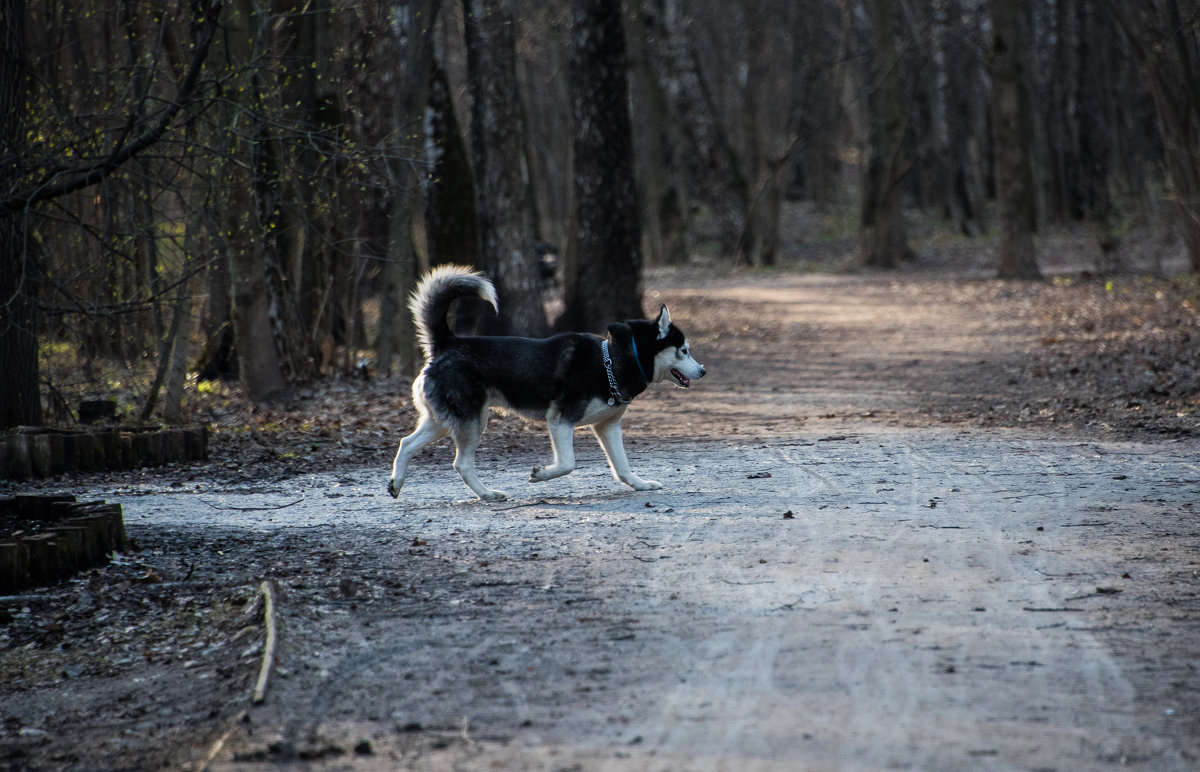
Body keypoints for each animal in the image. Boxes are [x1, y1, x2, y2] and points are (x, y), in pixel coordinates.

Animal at [384, 265, 700, 501]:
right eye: (684, 350)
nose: (703, 370)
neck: (610, 361)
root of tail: (446, 343)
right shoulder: (560, 421)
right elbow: (568, 464)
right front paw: (541, 474)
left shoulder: (608, 427)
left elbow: (622, 467)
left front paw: (641, 484)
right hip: (472, 421)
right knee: (460, 463)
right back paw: (488, 494)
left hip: (443, 421)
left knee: (406, 443)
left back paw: (396, 483)